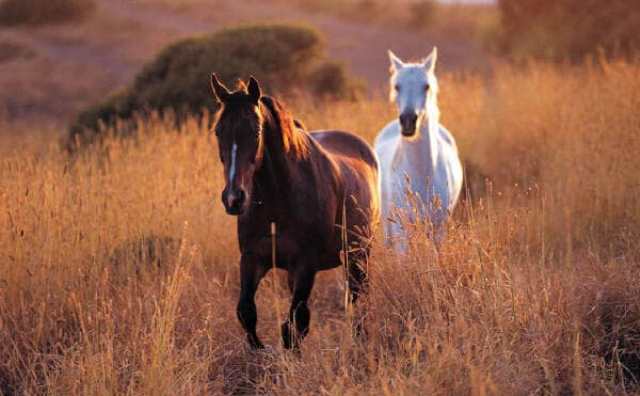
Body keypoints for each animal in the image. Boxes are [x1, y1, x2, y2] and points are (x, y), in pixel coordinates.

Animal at [210, 74, 380, 350]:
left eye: (256, 131)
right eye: (218, 131)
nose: (234, 198)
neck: (277, 201)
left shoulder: (305, 265)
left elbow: (293, 325)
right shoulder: (252, 259)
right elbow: (247, 313)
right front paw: (261, 350)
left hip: (358, 254)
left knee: (357, 298)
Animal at [372, 47, 462, 251]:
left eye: (426, 86)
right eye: (397, 86)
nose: (408, 121)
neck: (421, 173)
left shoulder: (438, 228)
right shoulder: (400, 229)